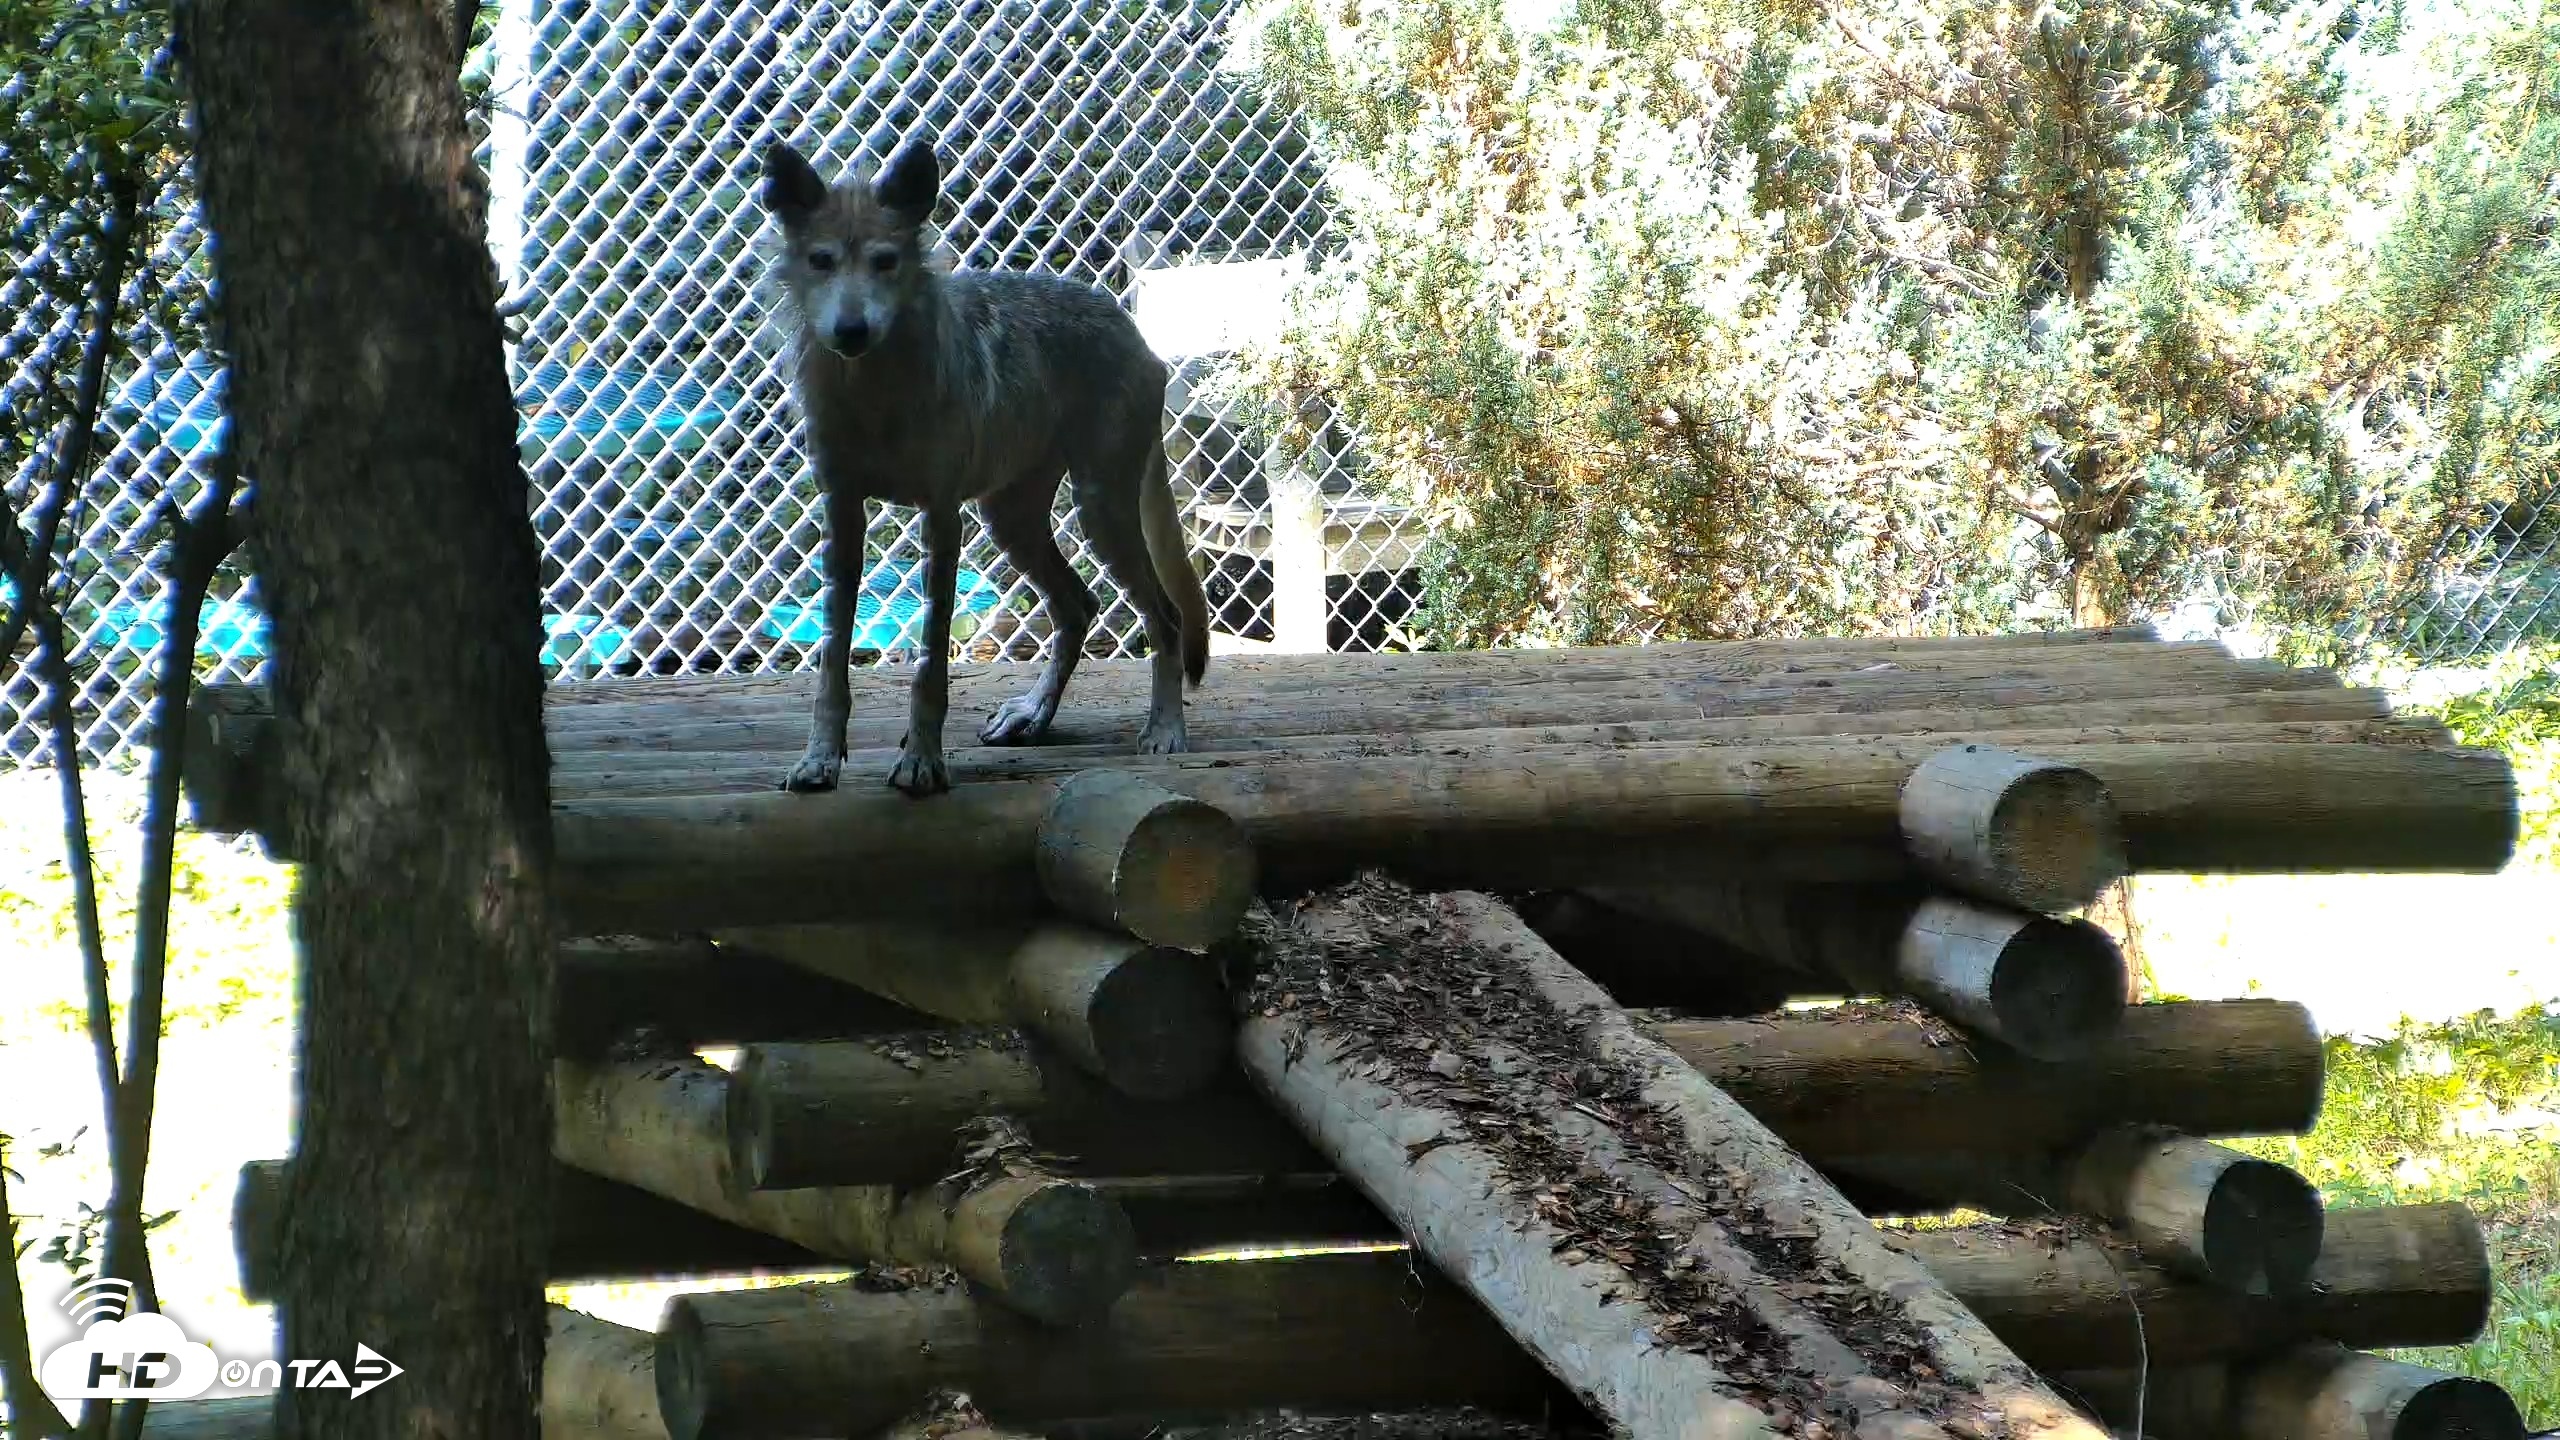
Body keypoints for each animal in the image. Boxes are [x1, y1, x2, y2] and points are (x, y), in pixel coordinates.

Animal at [757, 136, 1212, 797]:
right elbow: (831, 665)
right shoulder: (842, 516)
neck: (875, 399)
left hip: (1098, 512)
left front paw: (921, 763)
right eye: (822, 261)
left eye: (885, 262)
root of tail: (1131, 328)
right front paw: (819, 761)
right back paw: (1033, 717)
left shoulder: (941, 519)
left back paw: (1164, 731)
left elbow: (928, 668)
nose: (851, 330)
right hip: (1011, 522)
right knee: (1079, 607)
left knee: (1167, 617)